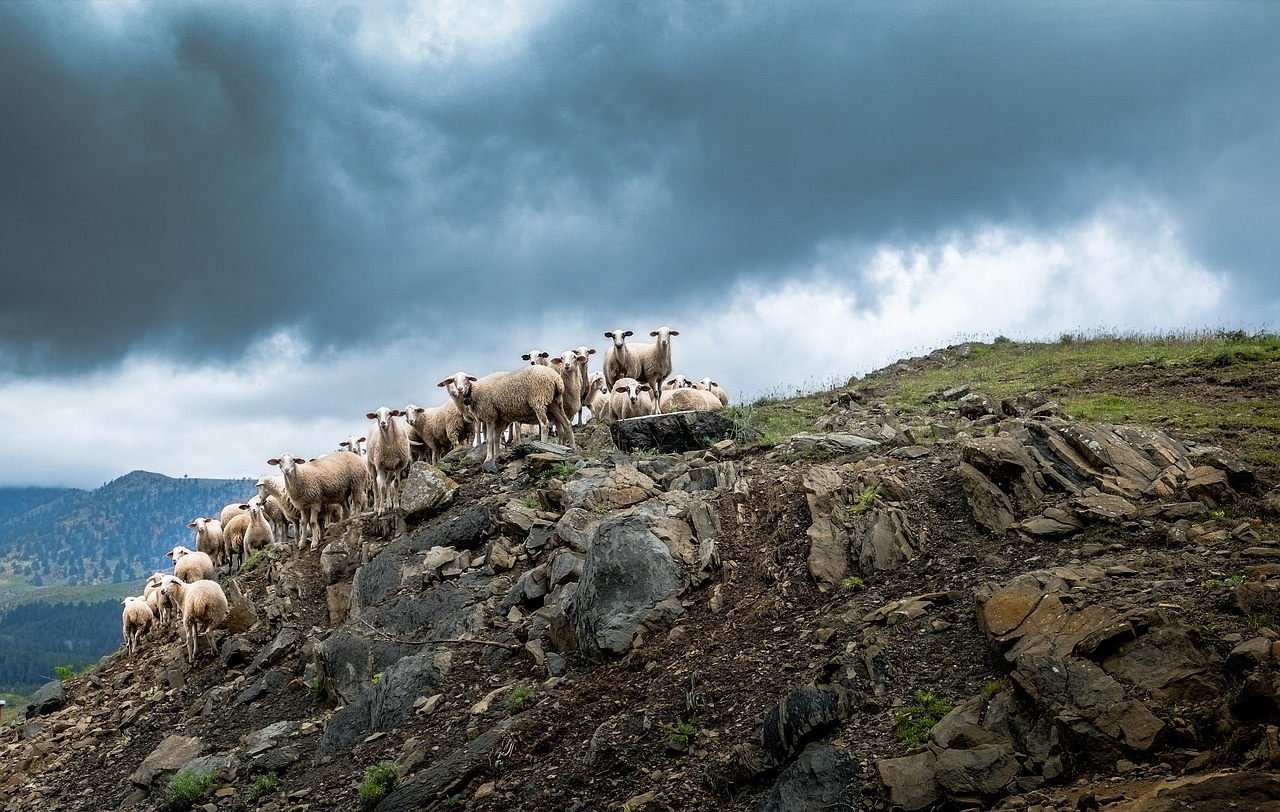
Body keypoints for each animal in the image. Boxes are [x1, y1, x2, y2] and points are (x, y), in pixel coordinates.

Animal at [442, 361, 578, 461]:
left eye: (466, 379)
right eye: (453, 380)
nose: (459, 389)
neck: (474, 391)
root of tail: (556, 379)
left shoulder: (489, 416)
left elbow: (490, 440)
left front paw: (488, 458)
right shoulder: (499, 419)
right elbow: (496, 439)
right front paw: (496, 457)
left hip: (539, 399)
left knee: (544, 425)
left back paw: (544, 446)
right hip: (555, 403)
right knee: (566, 423)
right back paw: (573, 447)